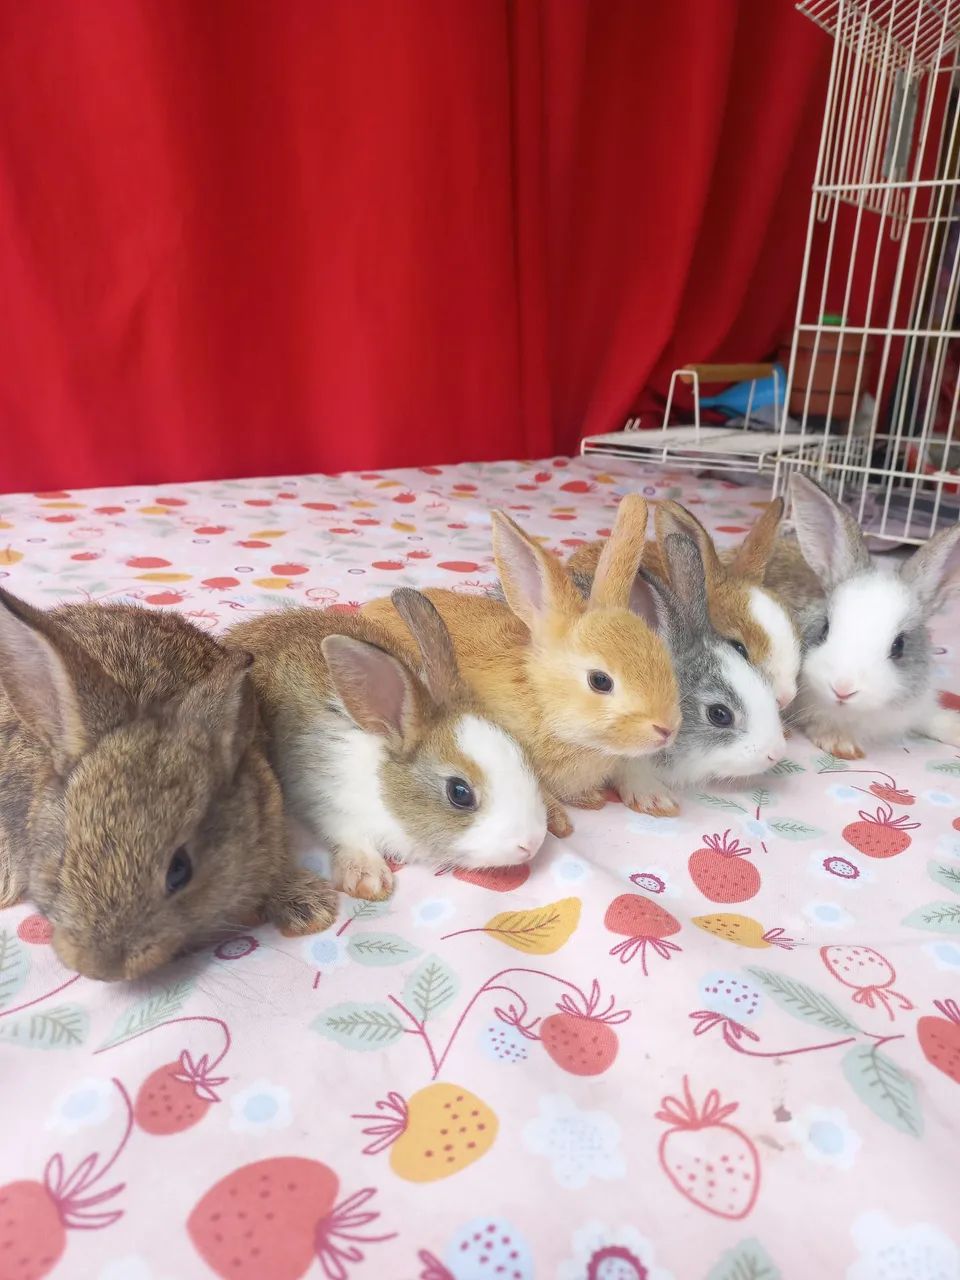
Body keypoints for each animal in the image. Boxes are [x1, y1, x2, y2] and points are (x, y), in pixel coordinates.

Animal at [227, 588, 547, 901]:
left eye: (519, 752)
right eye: (460, 793)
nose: (532, 843)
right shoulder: (325, 801)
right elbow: (347, 835)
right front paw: (367, 877)